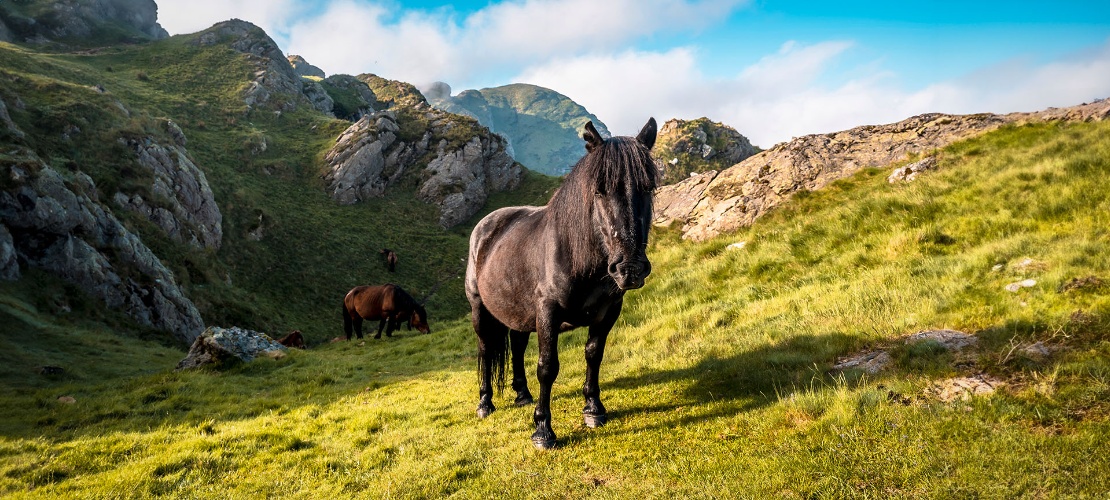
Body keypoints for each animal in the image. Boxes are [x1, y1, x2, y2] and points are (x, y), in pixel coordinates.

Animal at [461, 117, 652, 448]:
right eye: (599, 190)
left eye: (649, 187)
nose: (630, 269)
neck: (579, 256)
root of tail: (485, 225)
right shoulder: (547, 312)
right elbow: (547, 367)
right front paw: (542, 430)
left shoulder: (608, 311)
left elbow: (594, 354)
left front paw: (593, 409)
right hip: (480, 310)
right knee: (485, 349)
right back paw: (485, 403)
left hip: (518, 311)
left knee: (517, 346)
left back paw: (522, 395)